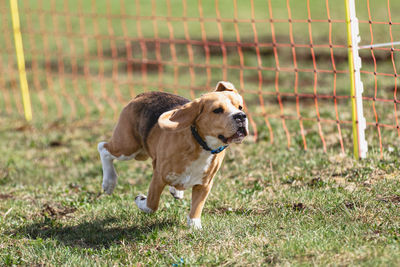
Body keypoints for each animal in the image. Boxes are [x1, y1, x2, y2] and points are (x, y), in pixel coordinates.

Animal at [97, 81, 247, 230]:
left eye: (240, 107)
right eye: (217, 110)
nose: (241, 116)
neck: (200, 144)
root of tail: (143, 94)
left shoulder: (205, 184)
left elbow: (197, 207)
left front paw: (194, 226)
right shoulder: (158, 177)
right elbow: (151, 204)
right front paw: (140, 200)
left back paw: (176, 190)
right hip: (128, 147)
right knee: (103, 148)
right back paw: (109, 183)